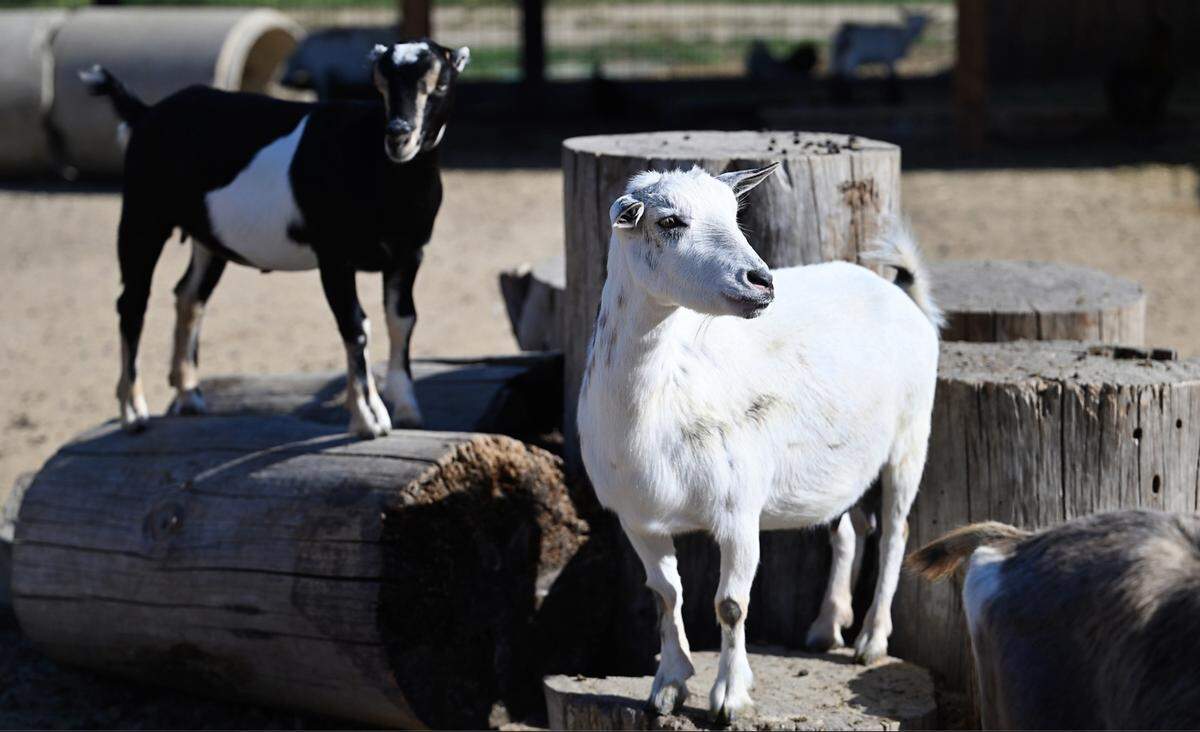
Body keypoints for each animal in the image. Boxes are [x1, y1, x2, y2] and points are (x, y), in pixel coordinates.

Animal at [80, 40, 469, 438]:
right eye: (380, 84)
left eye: (440, 84)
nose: (398, 134)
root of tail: (147, 113)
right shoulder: (333, 255)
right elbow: (356, 325)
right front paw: (369, 418)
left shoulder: (409, 254)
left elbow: (402, 320)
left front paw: (407, 410)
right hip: (142, 216)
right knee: (132, 304)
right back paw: (133, 412)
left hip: (208, 238)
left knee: (188, 295)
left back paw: (189, 396)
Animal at [576, 165, 941, 722]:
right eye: (669, 220)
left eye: (734, 215)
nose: (762, 281)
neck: (667, 394)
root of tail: (901, 292)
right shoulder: (637, 518)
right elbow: (665, 596)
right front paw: (668, 686)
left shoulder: (738, 509)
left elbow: (730, 604)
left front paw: (728, 696)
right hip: (846, 461)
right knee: (850, 529)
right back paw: (826, 626)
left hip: (911, 435)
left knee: (895, 532)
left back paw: (871, 640)